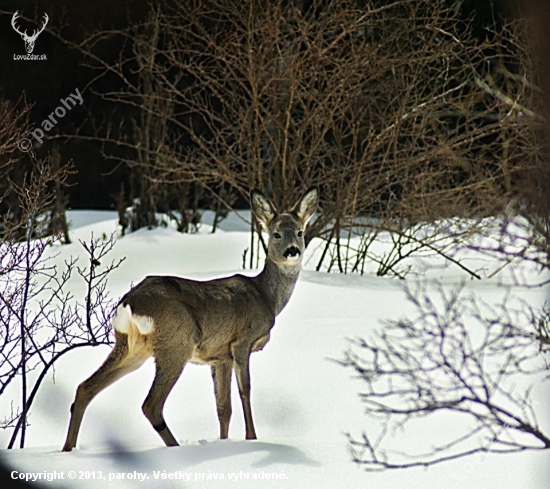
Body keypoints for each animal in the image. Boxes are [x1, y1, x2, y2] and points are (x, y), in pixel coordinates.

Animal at [61, 186, 320, 450]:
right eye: (276, 234)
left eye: (300, 232)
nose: (292, 250)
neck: (266, 297)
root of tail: (129, 303)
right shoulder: (241, 341)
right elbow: (245, 390)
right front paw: (251, 439)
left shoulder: (220, 357)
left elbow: (223, 407)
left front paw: (225, 442)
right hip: (177, 342)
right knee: (150, 405)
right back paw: (175, 447)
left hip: (130, 346)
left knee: (85, 388)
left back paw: (67, 449)